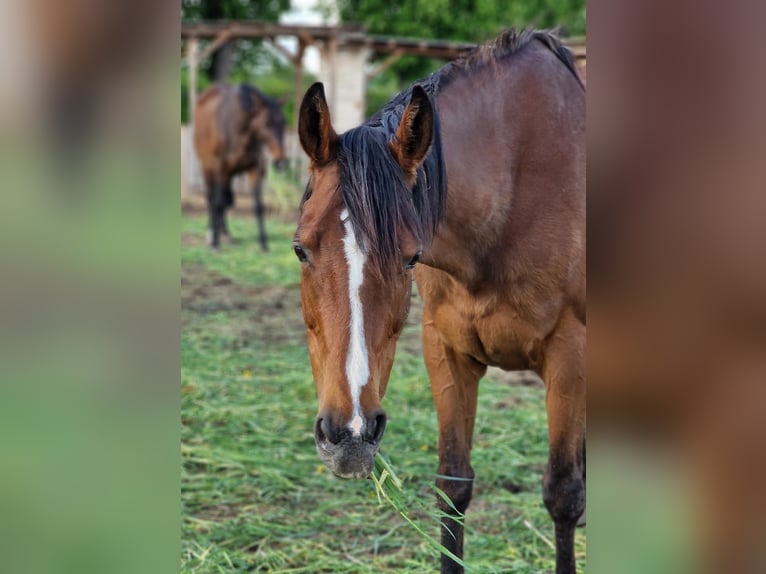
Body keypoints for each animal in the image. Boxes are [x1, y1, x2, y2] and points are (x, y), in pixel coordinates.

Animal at [193, 83, 287, 251]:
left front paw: (264, 244)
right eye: (266, 123)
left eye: (284, 122)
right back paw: (211, 234)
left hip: (228, 175)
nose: (280, 162)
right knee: (211, 198)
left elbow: (258, 206)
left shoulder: (254, 170)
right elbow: (217, 202)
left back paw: (225, 234)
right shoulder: (219, 169)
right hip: (207, 168)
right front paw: (215, 243)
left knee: (226, 200)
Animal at [294, 29, 585, 573]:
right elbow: (453, 486)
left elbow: (563, 494)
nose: (351, 436)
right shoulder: (445, 349)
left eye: (411, 257)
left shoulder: (569, 354)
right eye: (300, 249)